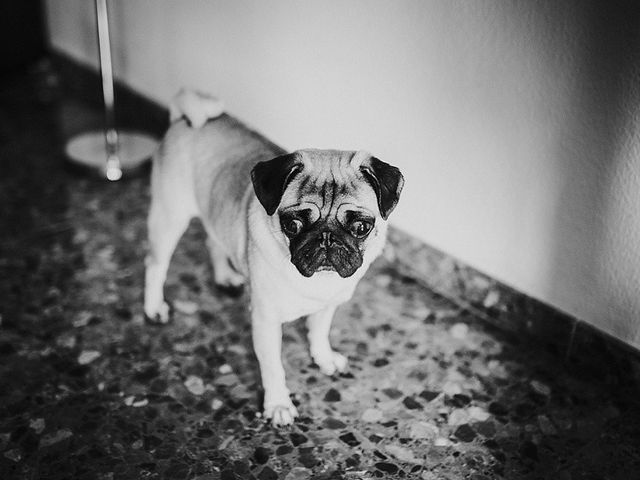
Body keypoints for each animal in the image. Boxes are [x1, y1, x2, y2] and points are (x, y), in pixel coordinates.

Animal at [146, 89, 404, 424]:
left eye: (361, 226)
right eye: (292, 224)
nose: (326, 239)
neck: (316, 283)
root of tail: (185, 118)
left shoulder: (327, 306)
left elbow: (318, 333)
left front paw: (323, 358)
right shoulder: (266, 322)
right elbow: (273, 367)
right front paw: (278, 404)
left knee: (213, 240)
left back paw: (224, 276)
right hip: (169, 217)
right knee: (155, 265)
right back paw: (153, 308)